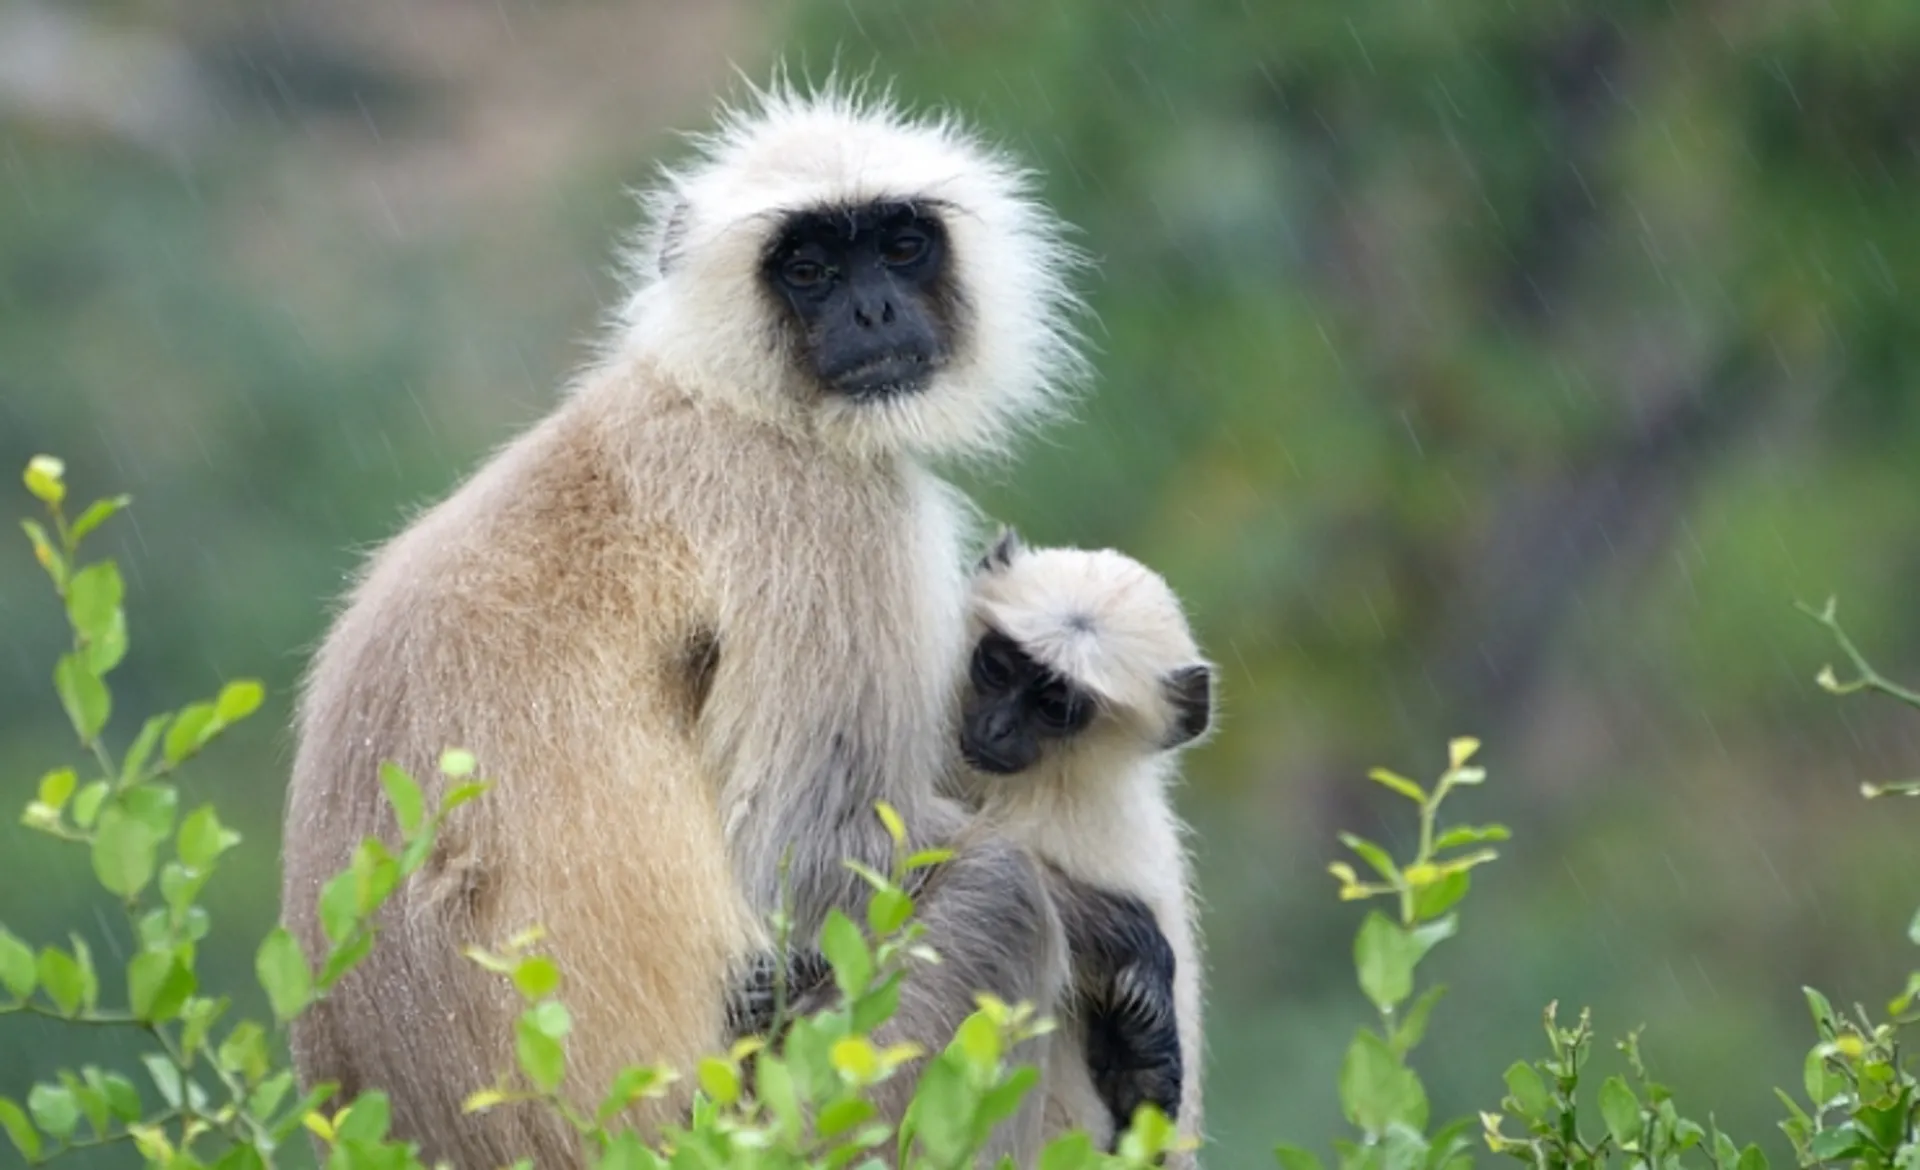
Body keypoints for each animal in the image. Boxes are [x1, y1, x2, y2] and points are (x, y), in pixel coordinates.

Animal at [280, 81, 1090, 1169]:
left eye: (902, 246)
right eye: (810, 269)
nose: (874, 309)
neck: (721, 399)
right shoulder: (830, 516)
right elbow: (810, 865)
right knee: (1002, 899)